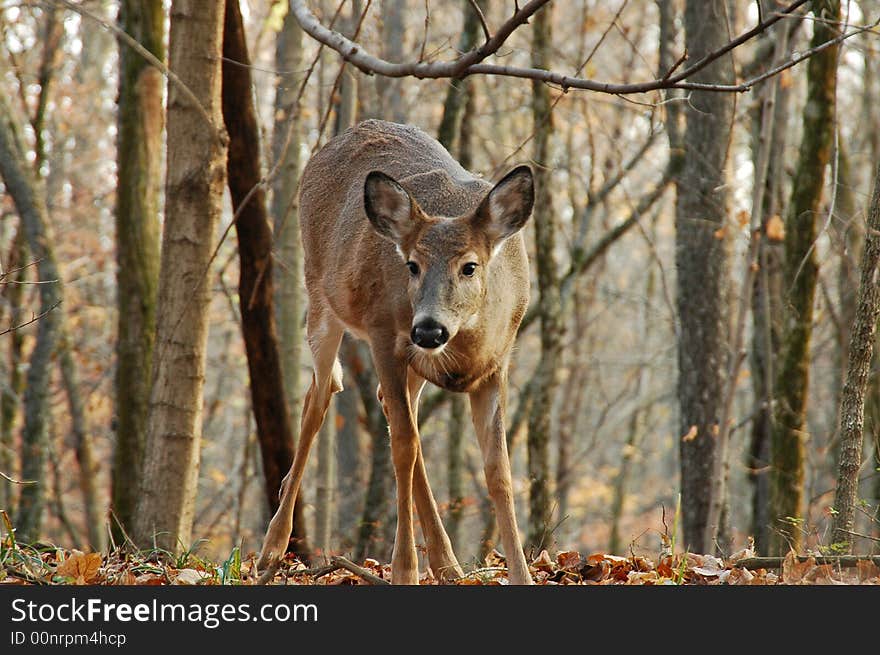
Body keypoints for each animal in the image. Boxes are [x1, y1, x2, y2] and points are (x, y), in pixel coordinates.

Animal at [258, 120, 532, 588]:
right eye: (412, 266)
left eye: (470, 266)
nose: (428, 329)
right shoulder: (384, 333)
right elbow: (403, 447)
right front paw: (404, 569)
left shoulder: (497, 363)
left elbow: (499, 470)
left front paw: (523, 575)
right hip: (321, 297)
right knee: (321, 394)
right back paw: (271, 548)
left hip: (412, 366)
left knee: (390, 405)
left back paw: (447, 562)